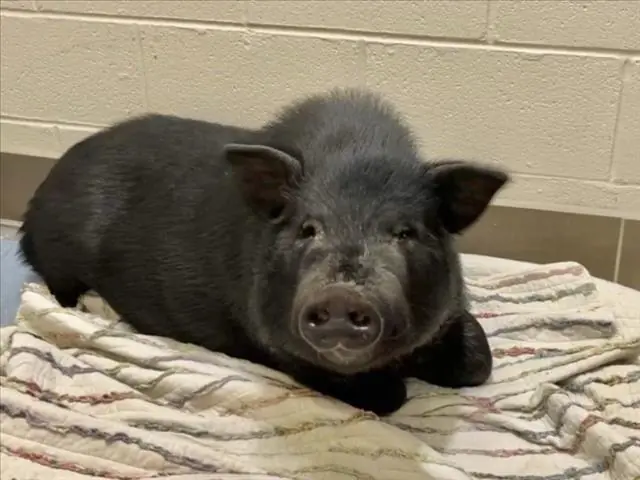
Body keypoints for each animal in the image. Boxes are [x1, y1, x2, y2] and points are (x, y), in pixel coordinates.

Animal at [19, 88, 509, 415]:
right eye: (308, 228)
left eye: (404, 232)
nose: (342, 295)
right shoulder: (272, 340)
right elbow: (389, 396)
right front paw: (392, 390)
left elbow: (480, 362)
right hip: (58, 257)